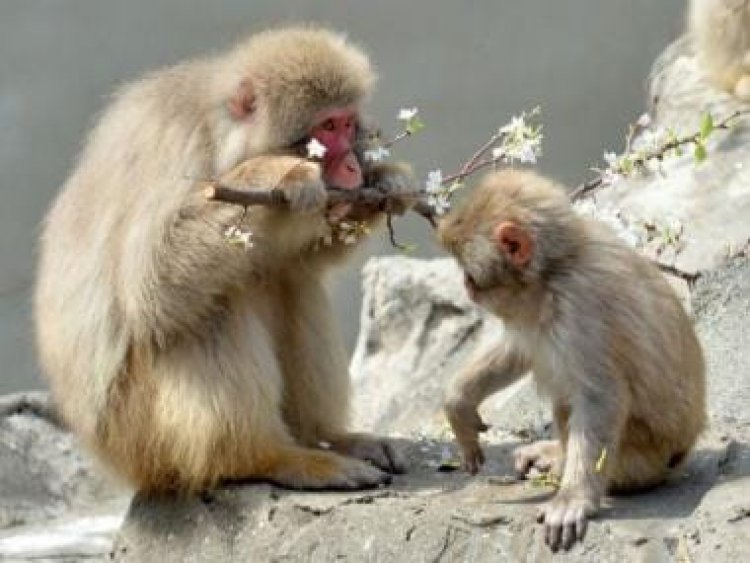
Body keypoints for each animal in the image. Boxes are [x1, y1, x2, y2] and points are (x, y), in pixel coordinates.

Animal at [34, 26, 415, 495]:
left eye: (347, 122)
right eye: (327, 127)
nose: (351, 167)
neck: (218, 136)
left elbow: (301, 259)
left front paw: (386, 183)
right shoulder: (176, 148)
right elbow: (150, 283)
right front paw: (280, 172)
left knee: (288, 280)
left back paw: (328, 437)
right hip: (140, 433)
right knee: (207, 310)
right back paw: (271, 457)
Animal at [437, 169, 706, 551]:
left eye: (468, 272)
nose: (464, 285)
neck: (556, 270)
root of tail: (685, 451)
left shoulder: (582, 308)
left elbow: (601, 396)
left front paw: (573, 499)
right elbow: (519, 348)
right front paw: (458, 401)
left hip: (642, 461)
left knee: (572, 405)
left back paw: (566, 466)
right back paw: (556, 455)